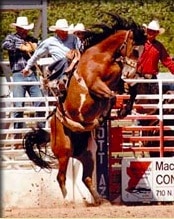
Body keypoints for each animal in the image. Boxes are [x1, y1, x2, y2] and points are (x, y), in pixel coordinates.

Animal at [22, 14, 146, 205]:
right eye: (134, 48)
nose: (133, 74)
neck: (102, 57)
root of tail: (51, 132)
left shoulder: (118, 83)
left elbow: (131, 90)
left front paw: (124, 110)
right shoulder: (95, 85)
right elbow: (111, 97)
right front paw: (106, 114)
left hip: (88, 154)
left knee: (86, 178)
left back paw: (99, 200)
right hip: (64, 151)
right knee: (61, 177)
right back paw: (67, 201)